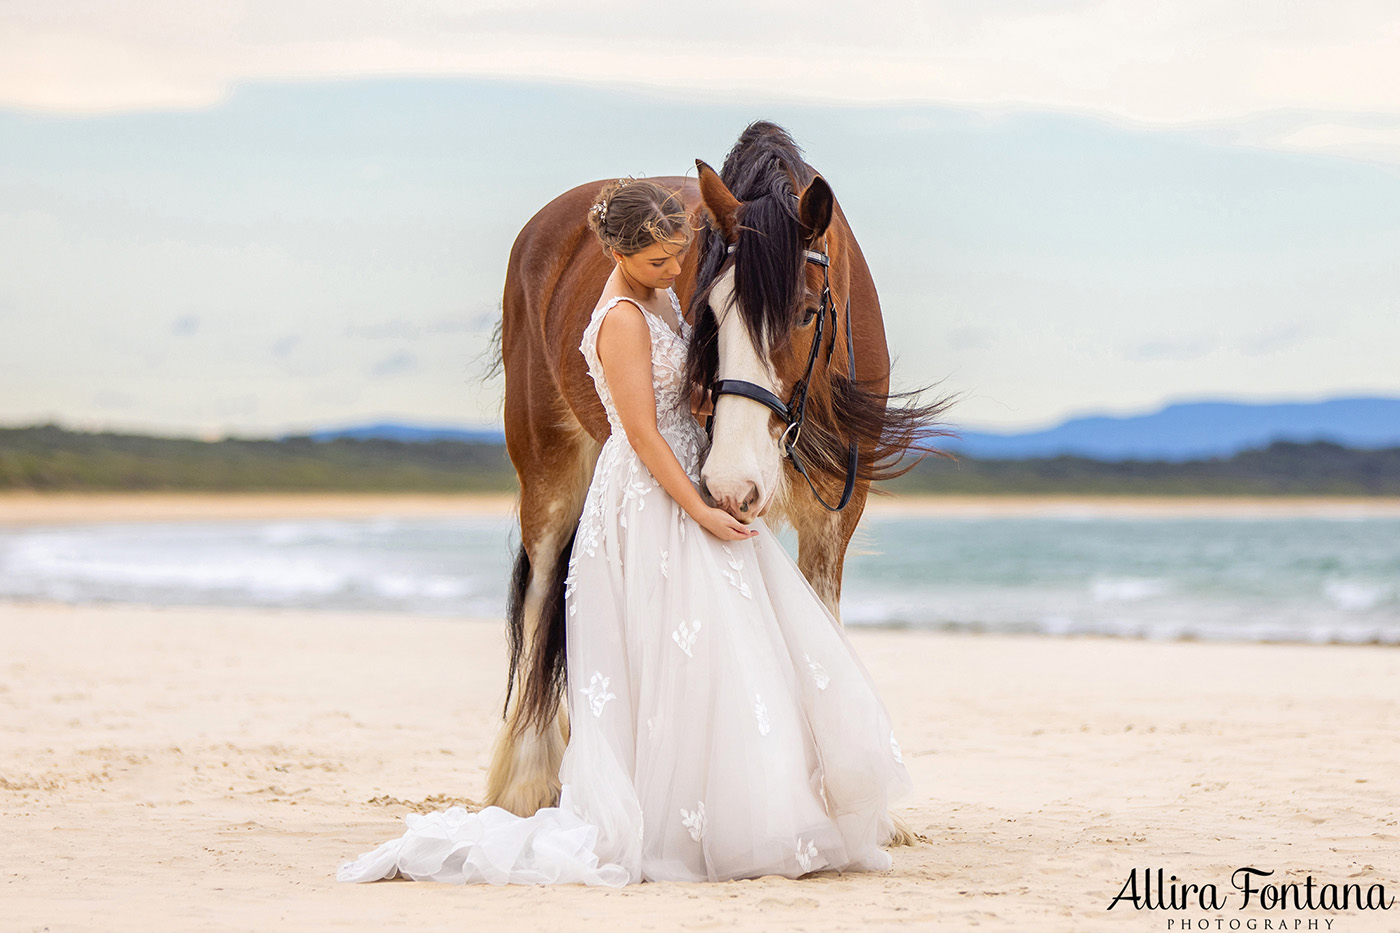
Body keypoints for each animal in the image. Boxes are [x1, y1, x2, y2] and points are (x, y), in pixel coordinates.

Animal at [481, 119, 952, 846]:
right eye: (709, 313)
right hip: (549, 467)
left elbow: (821, 628)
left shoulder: (834, 516)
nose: (733, 479)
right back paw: (529, 780)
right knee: (538, 595)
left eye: (806, 311)